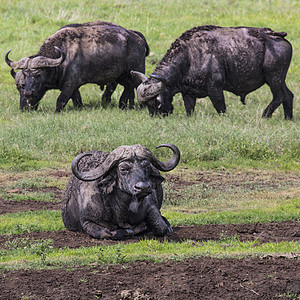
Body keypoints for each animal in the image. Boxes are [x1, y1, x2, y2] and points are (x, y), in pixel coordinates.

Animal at [4, 21, 150, 112]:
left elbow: (61, 100)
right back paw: (122, 105)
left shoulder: (70, 84)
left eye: (38, 74)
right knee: (128, 87)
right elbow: (77, 100)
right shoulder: (73, 87)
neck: (63, 57)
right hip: (121, 75)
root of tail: (136, 37)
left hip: (136, 73)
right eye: (25, 76)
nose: (28, 93)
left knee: (138, 87)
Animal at [132, 25, 294, 119]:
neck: (189, 56)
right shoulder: (188, 93)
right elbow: (189, 109)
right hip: (279, 79)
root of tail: (276, 35)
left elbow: (220, 107)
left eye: (156, 103)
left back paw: (265, 115)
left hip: (273, 77)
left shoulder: (215, 89)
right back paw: (288, 117)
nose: (157, 117)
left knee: (279, 96)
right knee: (288, 95)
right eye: (147, 105)